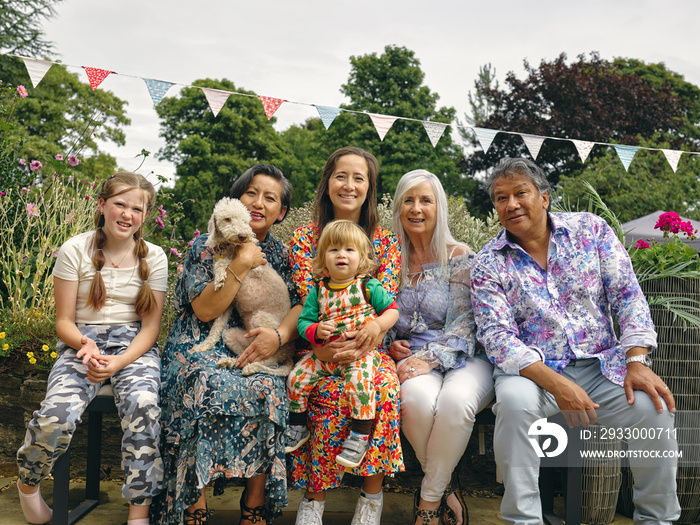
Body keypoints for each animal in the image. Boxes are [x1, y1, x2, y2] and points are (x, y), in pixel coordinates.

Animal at [189, 198, 292, 376]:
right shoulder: (226, 304)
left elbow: (226, 263)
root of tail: (290, 351)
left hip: (262, 322)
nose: (243, 236)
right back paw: (230, 362)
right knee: (247, 355)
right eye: (227, 219)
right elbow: (215, 329)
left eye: (245, 221)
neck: (229, 248)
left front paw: (220, 276)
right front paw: (203, 346)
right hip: (232, 335)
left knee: (269, 360)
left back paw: (251, 368)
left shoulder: (255, 267)